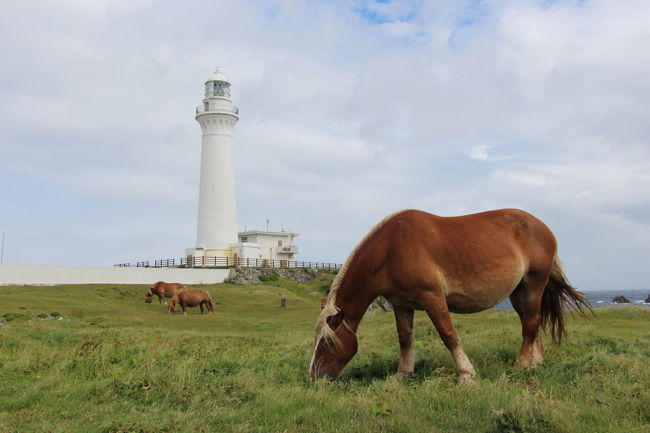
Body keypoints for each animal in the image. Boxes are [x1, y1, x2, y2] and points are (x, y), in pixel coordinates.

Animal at [308, 209, 588, 382]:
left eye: (329, 343)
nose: (313, 377)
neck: (391, 250)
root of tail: (543, 227)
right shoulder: (401, 304)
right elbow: (405, 338)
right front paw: (403, 373)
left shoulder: (432, 297)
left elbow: (448, 335)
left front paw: (466, 374)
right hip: (519, 293)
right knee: (532, 323)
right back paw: (535, 362)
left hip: (533, 285)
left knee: (531, 323)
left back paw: (521, 365)